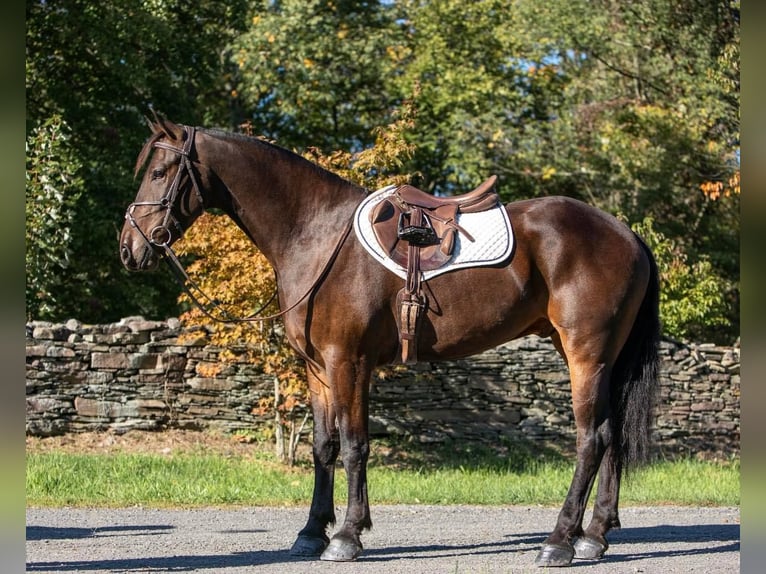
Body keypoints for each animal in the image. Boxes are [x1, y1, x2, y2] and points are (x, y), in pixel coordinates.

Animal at [118, 119, 660, 568]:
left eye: (162, 171)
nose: (129, 248)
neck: (317, 234)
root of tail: (627, 233)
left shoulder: (348, 361)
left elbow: (355, 444)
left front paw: (347, 536)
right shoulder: (317, 369)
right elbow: (323, 446)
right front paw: (311, 533)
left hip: (586, 355)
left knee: (590, 441)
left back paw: (559, 542)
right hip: (603, 360)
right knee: (611, 437)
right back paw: (594, 536)